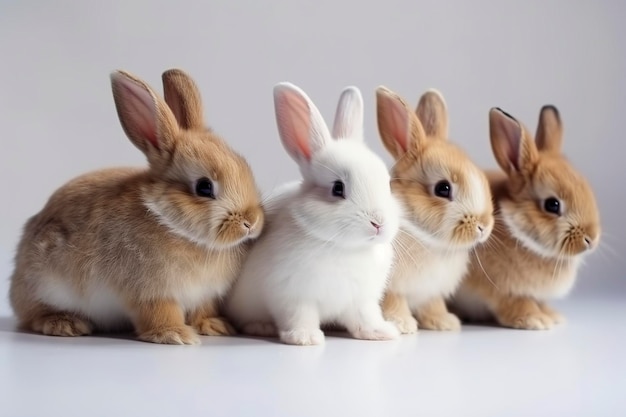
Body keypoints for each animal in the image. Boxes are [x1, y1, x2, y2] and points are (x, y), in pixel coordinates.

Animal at [9, 69, 264, 344]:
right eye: (204, 187)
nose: (251, 223)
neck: (170, 223)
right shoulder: (150, 292)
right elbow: (159, 313)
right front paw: (176, 335)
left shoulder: (204, 294)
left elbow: (203, 309)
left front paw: (216, 326)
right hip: (43, 283)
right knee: (34, 314)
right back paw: (65, 324)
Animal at [224, 81, 400, 344]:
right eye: (337, 188)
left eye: (387, 184)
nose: (378, 223)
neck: (344, 247)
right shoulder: (292, 295)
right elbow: (299, 316)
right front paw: (305, 338)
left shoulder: (361, 300)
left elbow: (365, 317)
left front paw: (382, 333)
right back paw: (261, 327)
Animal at [372, 87, 494, 332]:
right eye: (442, 188)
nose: (483, 226)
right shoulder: (392, 288)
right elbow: (393, 302)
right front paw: (403, 325)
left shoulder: (430, 291)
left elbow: (433, 305)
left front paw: (445, 323)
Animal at [448, 105, 600, 328]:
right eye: (552, 205)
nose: (591, 239)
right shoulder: (503, 291)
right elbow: (518, 304)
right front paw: (536, 320)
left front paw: (553, 316)